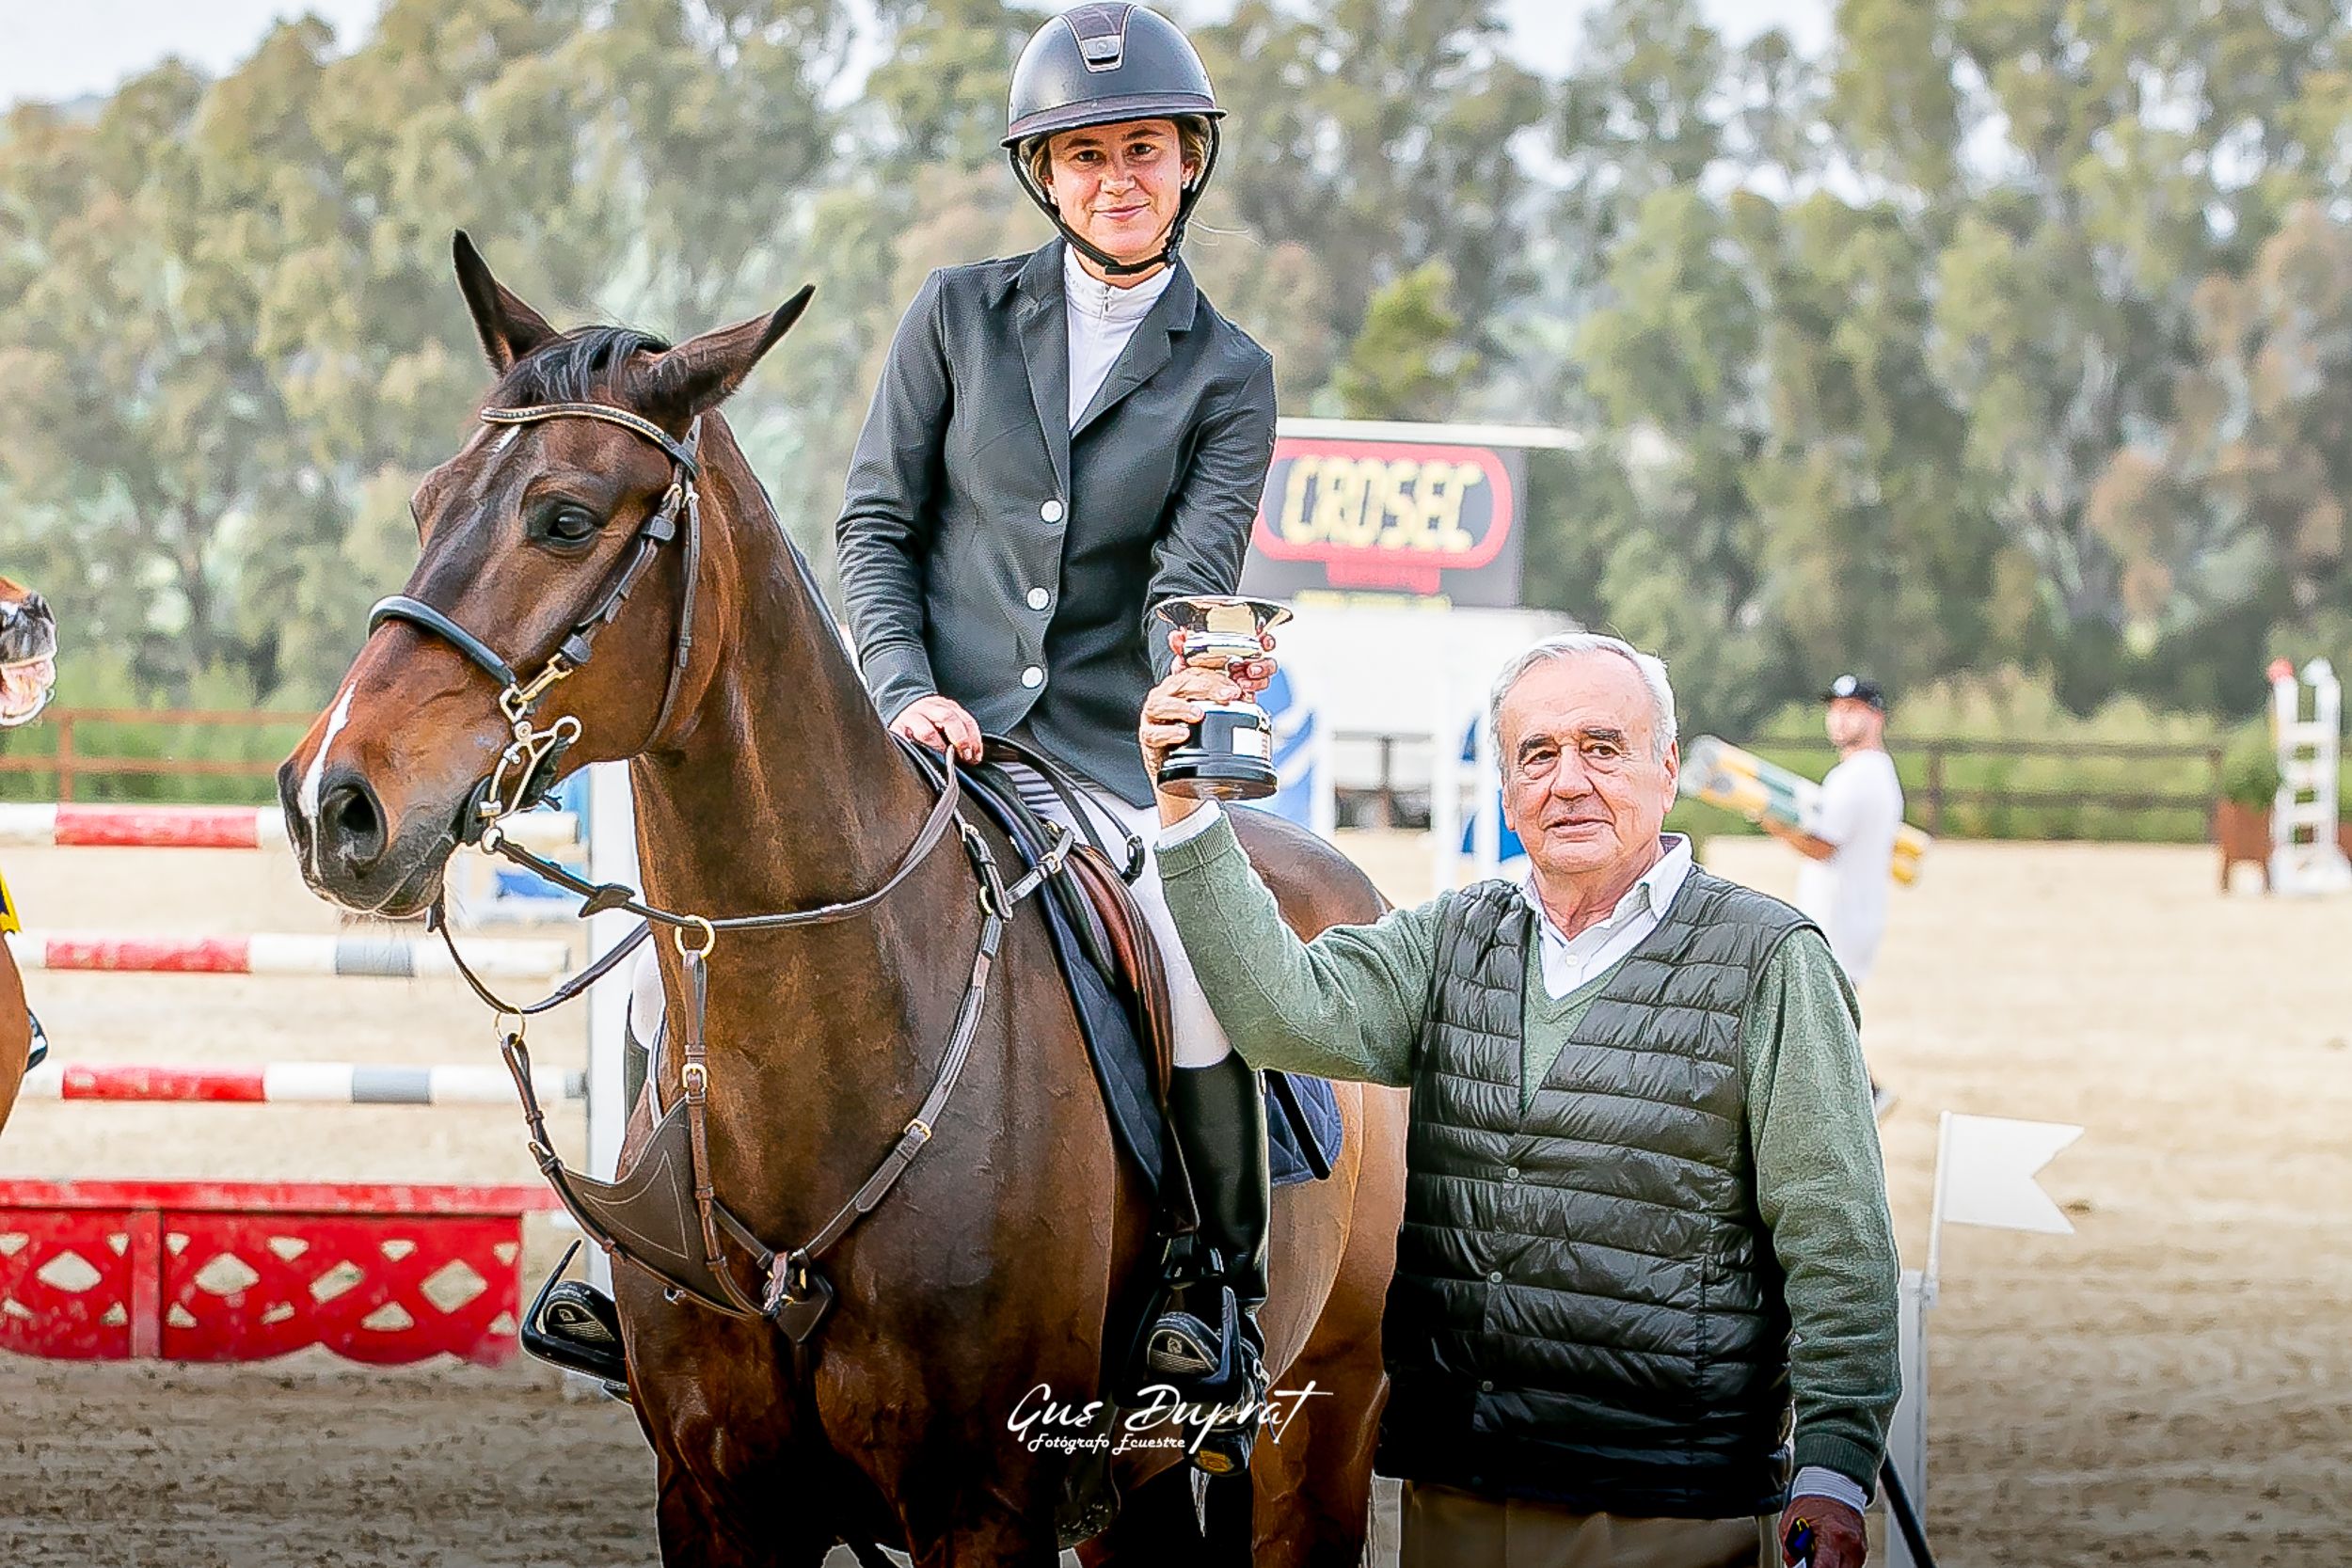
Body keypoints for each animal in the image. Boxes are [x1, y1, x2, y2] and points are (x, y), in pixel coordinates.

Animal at [282, 236, 1402, 1568]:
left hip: (1323, 1430)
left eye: (565, 517)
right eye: (426, 504)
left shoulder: (981, 1507)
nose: (333, 800)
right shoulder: (716, 1501)